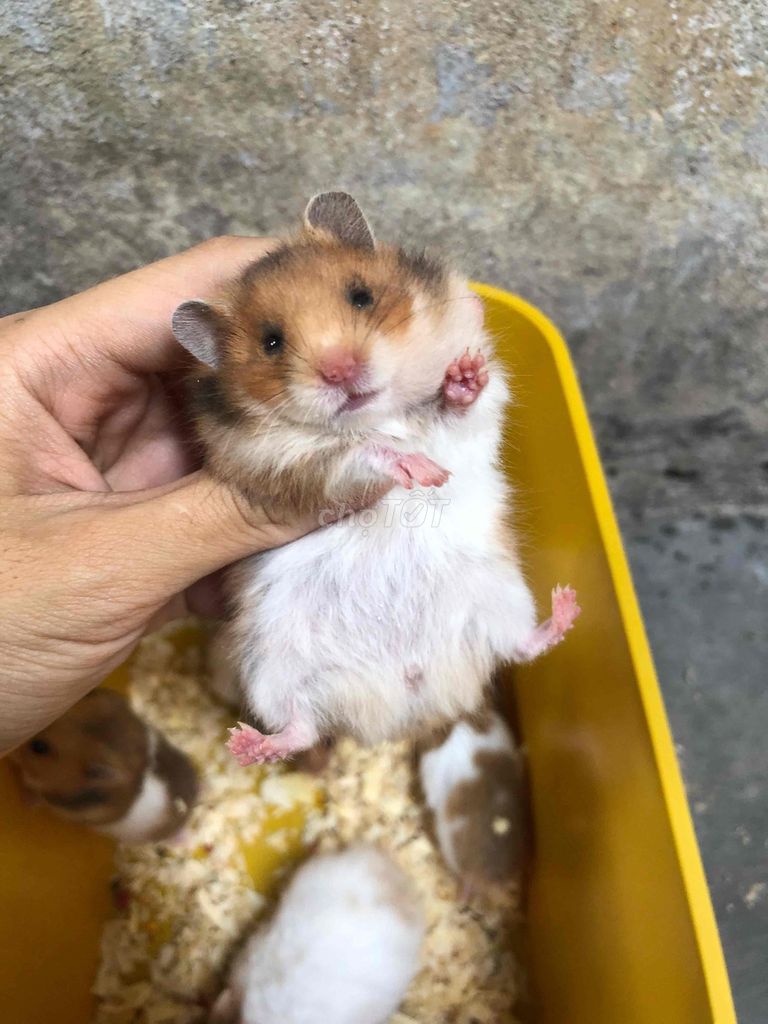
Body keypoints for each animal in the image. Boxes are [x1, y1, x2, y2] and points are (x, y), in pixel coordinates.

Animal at [172, 191, 580, 765]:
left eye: (361, 296)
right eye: (271, 342)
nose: (340, 370)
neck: (378, 412)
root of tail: (402, 702)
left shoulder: (472, 426)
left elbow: (462, 411)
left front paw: (463, 379)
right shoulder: (278, 464)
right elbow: (358, 451)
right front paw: (421, 470)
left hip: (501, 598)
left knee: (522, 643)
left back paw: (567, 607)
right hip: (271, 662)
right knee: (299, 725)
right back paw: (248, 746)